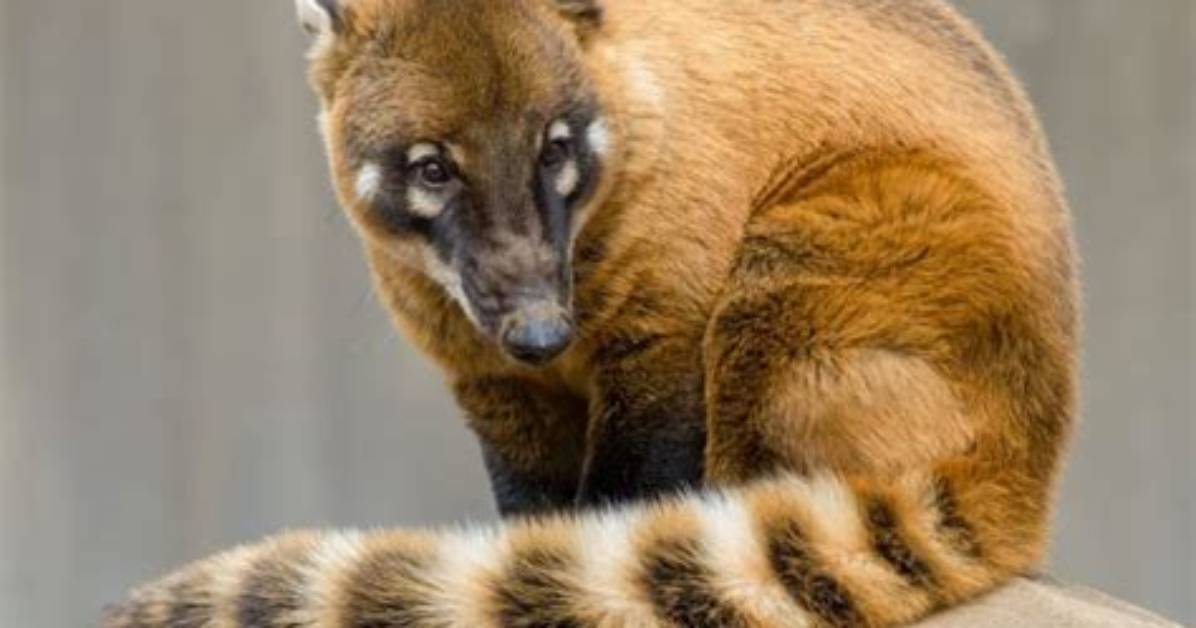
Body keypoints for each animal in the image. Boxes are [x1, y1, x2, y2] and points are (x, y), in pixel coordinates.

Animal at [104, 0, 1079, 625]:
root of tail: (1028, 457)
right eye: (432, 168)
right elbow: (526, 477)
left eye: (554, 149)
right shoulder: (483, 368)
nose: (542, 333)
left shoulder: (674, 290)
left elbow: (640, 449)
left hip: (834, 262)